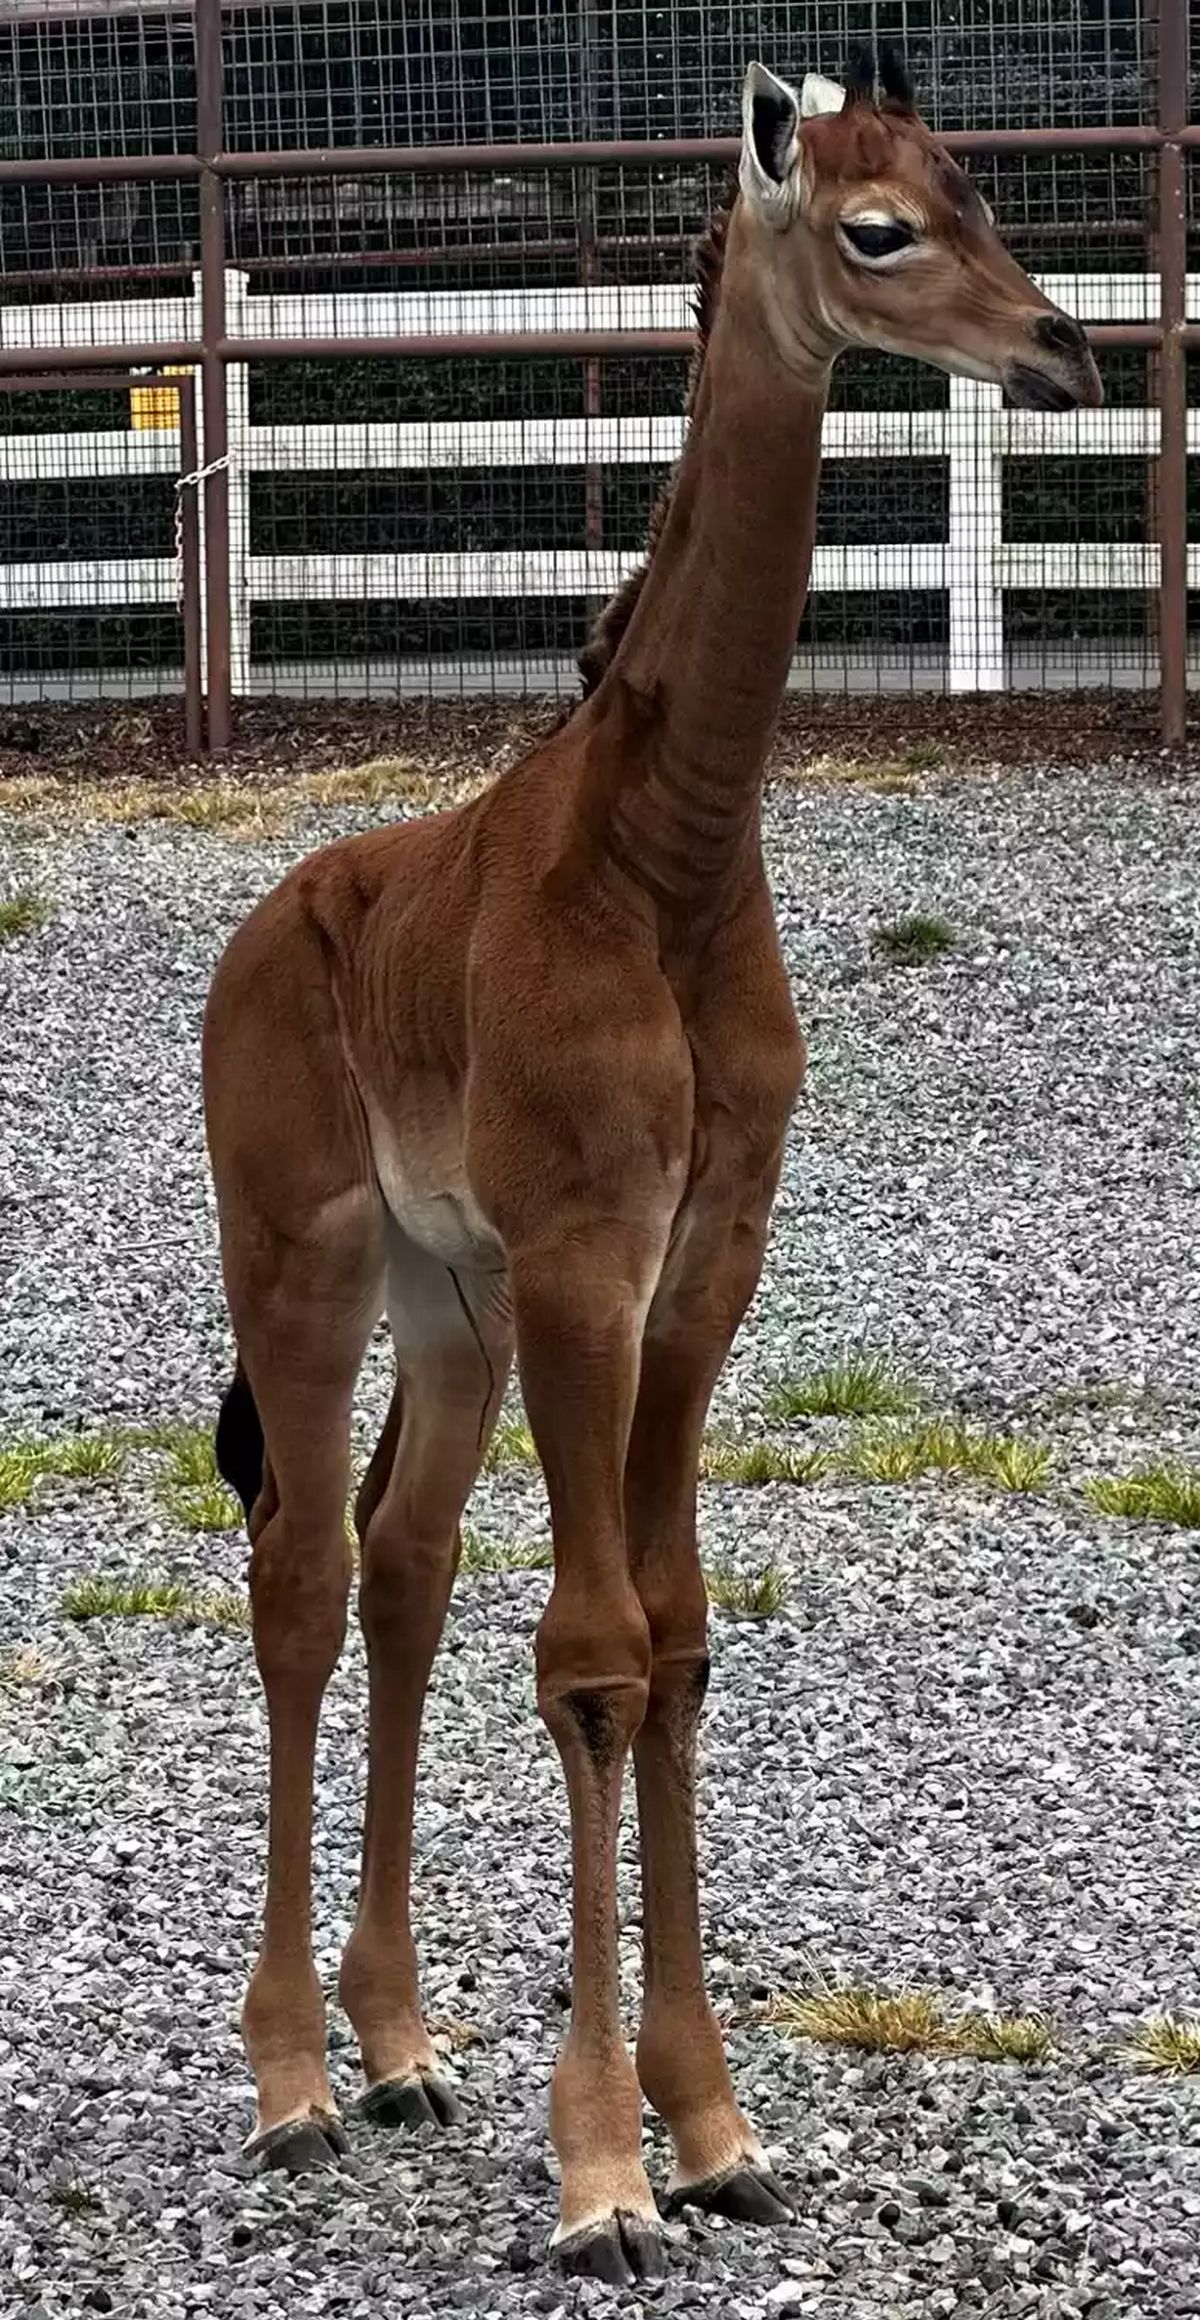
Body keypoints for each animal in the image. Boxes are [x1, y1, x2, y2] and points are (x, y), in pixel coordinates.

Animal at [200, 45, 1100, 2292]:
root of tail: (260, 933)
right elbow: (594, 1656)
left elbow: (676, 1639)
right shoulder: (586, 1256)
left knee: (403, 1562)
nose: (1066, 350)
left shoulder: (704, 1262)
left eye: (978, 187)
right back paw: (290, 2080)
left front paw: (713, 2128)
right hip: (305, 1254)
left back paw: (402, 2046)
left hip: (445, 1297)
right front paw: (604, 2171)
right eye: (877, 227)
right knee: (302, 1575)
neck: (663, 859)